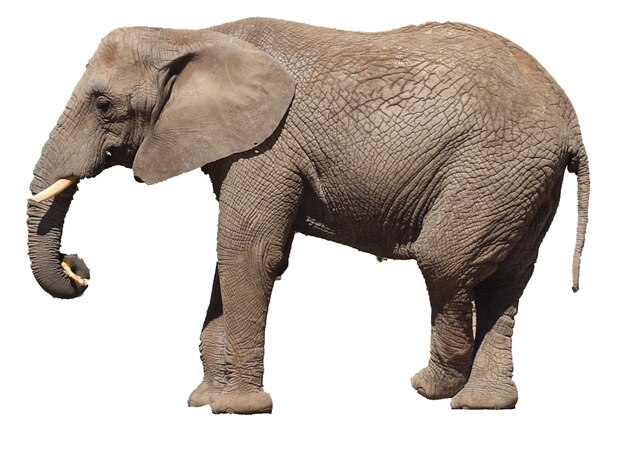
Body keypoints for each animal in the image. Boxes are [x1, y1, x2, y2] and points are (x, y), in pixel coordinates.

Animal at [26, 16, 588, 414]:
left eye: (103, 105)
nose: (80, 266)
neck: (193, 35)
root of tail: (571, 123)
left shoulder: (268, 147)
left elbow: (249, 252)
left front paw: (238, 410)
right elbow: (229, 258)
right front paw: (204, 401)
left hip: (493, 168)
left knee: (445, 259)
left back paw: (430, 388)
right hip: (521, 183)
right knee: (505, 280)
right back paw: (482, 404)